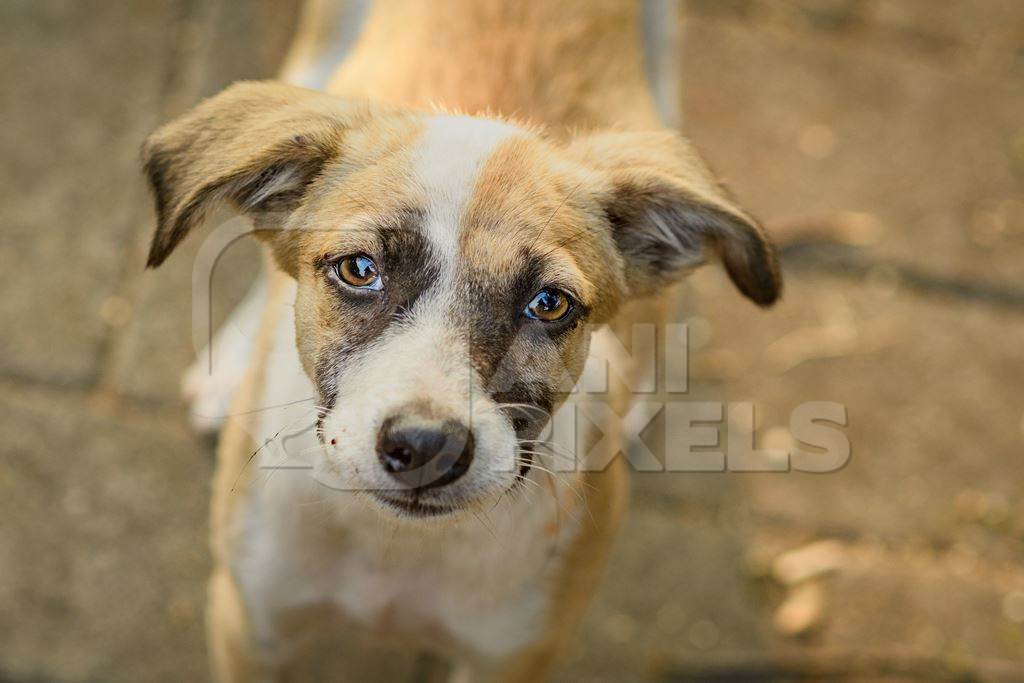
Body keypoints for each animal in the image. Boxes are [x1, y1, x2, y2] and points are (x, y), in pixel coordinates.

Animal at [144, 2, 778, 679]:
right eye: (359, 269)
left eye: (550, 304)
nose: (428, 448)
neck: (395, 548)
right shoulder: (250, 624)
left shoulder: (516, 654)